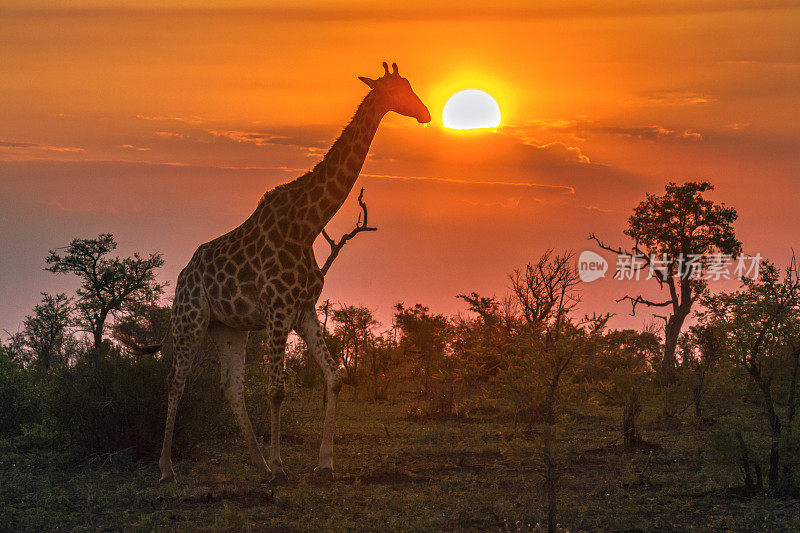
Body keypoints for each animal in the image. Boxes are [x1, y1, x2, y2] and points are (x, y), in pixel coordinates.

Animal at [127, 61, 432, 482]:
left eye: (410, 85)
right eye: (397, 90)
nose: (426, 113)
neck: (307, 224)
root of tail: (183, 275)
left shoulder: (303, 309)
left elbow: (334, 376)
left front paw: (324, 464)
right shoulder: (277, 309)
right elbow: (276, 389)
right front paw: (281, 465)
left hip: (228, 327)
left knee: (231, 386)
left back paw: (256, 463)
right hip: (191, 318)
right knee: (176, 380)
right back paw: (168, 468)